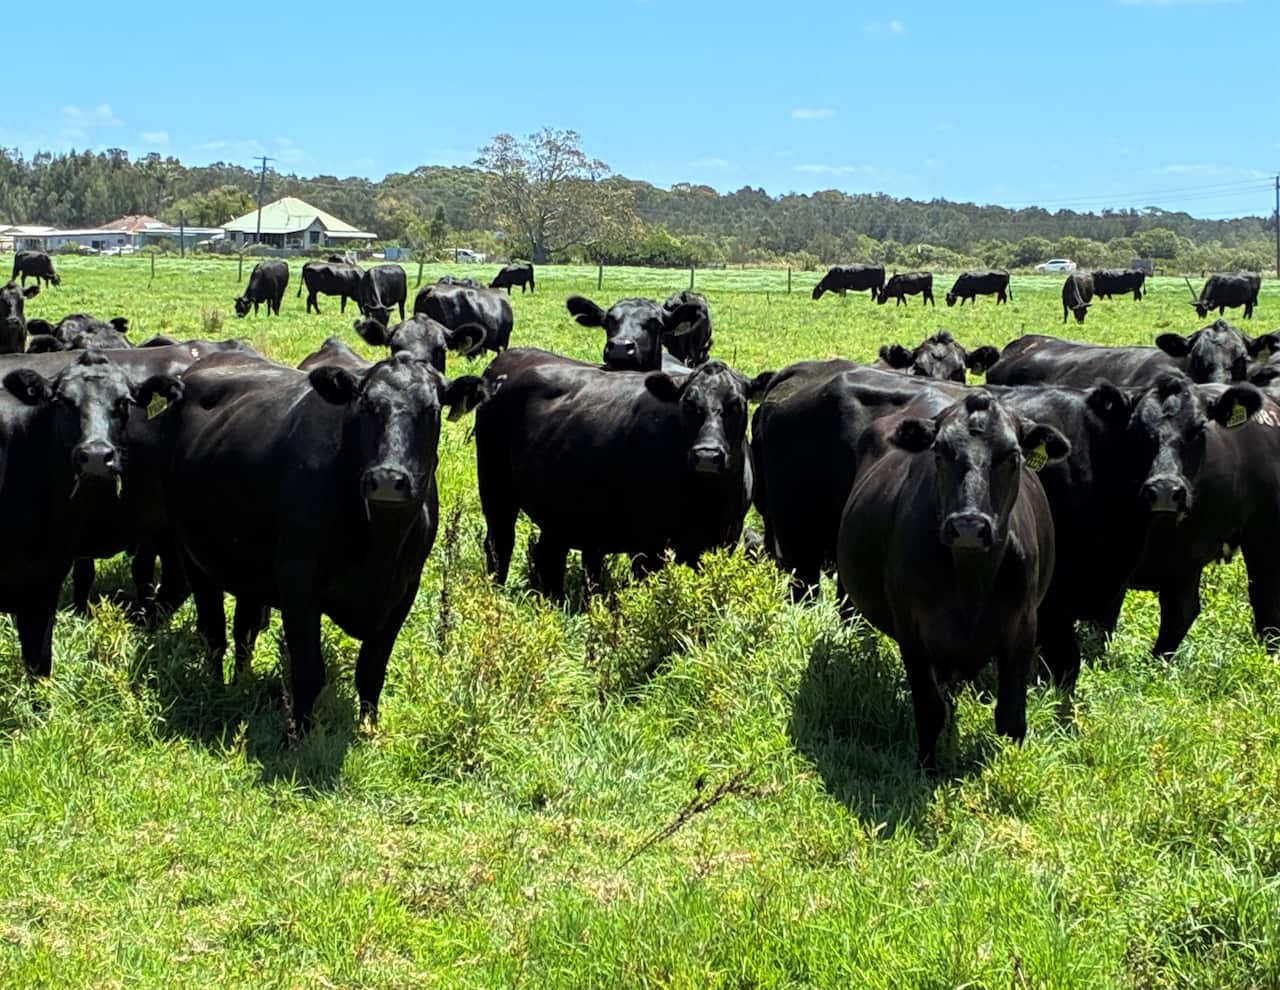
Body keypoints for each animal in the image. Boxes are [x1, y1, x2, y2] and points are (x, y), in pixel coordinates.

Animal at [151, 350, 485, 730]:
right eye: (365, 405)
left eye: (431, 410)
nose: (387, 479)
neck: (380, 545)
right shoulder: (297, 582)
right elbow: (309, 672)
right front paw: (299, 734)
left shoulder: (403, 590)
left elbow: (372, 671)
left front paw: (369, 729)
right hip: (193, 555)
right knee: (214, 634)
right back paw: (216, 690)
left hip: (248, 569)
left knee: (244, 632)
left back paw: (240, 685)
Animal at [476, 352, 772, 597]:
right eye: (688, 403)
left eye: (736, 404)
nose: (707, 455)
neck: (704, 496)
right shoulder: (647, 543)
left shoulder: (724, 538)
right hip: (495, 489)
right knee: (499, 544)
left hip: (559, 512)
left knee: (548, 557)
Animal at [837, 390, 1069, 768]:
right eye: (939, 453)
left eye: (1013, 456)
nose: (969, 526)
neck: (970, 584)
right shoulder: (911, 629)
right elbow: (930, 709)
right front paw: (926, 767)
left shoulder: (1023, 625)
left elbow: (1011, 717)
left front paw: (1009, 768)